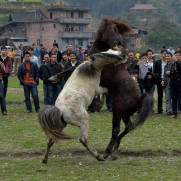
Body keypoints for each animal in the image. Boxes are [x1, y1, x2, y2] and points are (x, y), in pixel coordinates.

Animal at [88, 17, 153, 158]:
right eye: (113, 29)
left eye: (117, 30)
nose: (120, 42)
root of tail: (139, 97)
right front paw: (98, 104)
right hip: (125, 114)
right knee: (129, 126)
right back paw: (115, 146)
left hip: (117, 111)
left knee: (116, 129)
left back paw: (108, 150)